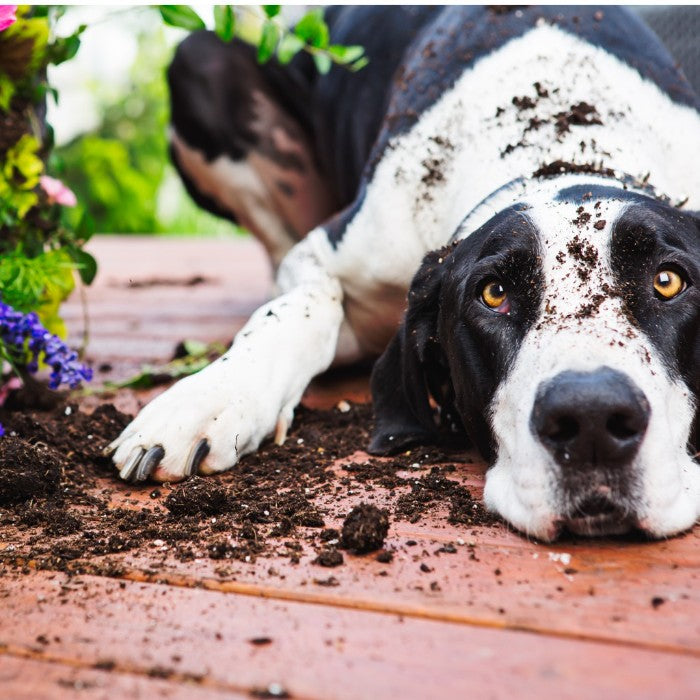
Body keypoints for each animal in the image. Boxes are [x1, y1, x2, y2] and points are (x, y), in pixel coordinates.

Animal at [105, 5, 700, 540]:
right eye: (494, 293)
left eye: (668, 281)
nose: (593, 419)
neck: (559, 144)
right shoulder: (327, 253)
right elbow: (298, 309)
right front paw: (208, 398)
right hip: (200, 60)